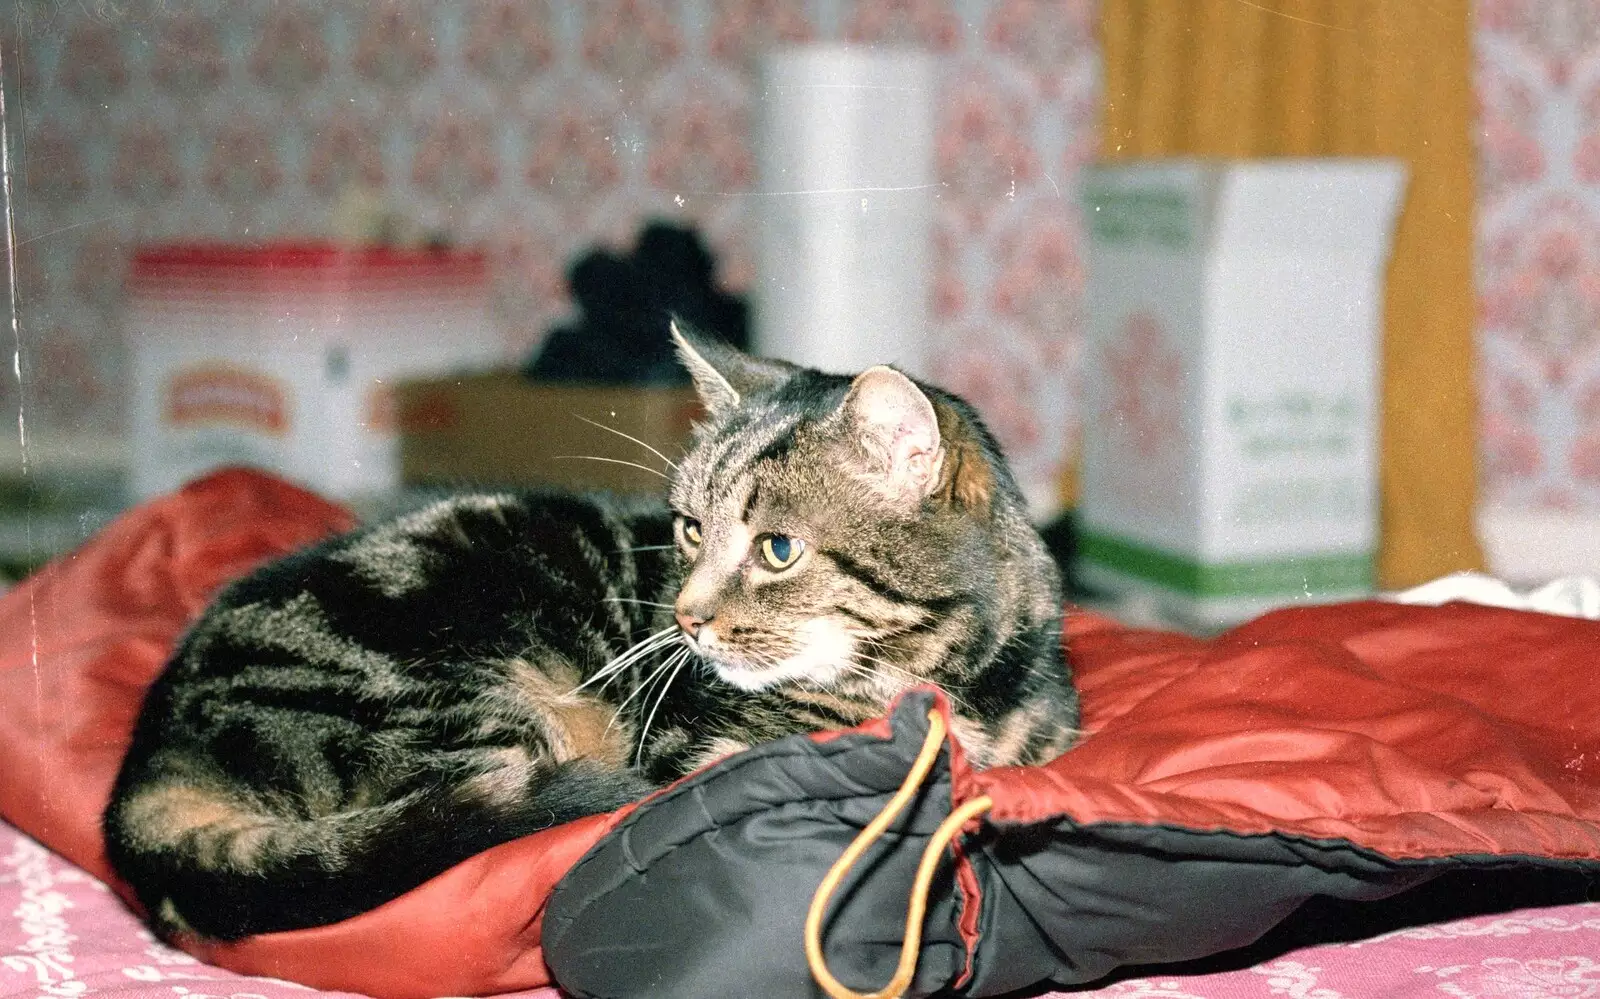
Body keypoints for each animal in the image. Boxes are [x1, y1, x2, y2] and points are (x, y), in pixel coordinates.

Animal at [106, 323, 1081, 941]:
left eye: (777, 549)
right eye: (688, 529)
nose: (685, 615)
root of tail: (144, 770)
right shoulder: (696, 748)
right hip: (468, 709)